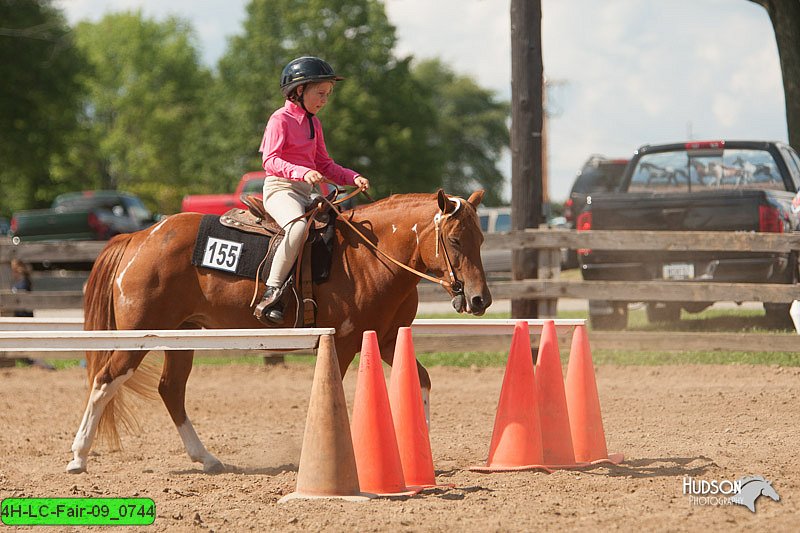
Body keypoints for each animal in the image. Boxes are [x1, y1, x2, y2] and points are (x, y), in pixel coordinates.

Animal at [69, 189, 490, 472]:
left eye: (481, 238)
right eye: (454, 239)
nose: (479, 299)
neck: (371, 256)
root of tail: (140, 238)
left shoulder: (386, 341)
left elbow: (422, 380)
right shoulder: (344, 344)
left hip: (181, 337)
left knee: (170, 390)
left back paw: (207, 459)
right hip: (139, 336)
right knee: (105, 380)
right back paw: (79, 456)